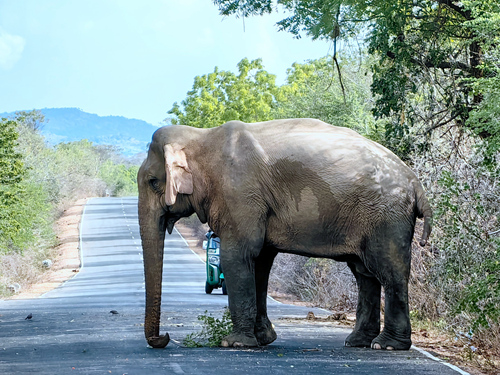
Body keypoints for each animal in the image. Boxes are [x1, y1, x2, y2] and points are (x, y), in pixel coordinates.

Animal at [136, 118, 430, 352]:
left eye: (153, 182)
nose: (165, 337)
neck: (200, 137)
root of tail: (416, 183)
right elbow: (260, 262)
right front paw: (263, 339)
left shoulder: (239, 194)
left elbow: (239, 256)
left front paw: (234, 343)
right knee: (364, 273)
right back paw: (358, 342)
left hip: (386, 216)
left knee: (388, 271)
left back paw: (387, 345)